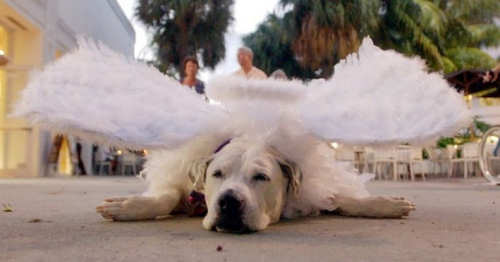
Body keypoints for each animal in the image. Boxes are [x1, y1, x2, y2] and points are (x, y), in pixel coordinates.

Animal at [13, 37, 470, 233]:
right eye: (216, 175)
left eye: (261, 178)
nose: (229, 202)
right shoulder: (183, 181)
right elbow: (163, 195)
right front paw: (129, 207)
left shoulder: (308, 189)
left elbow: (341, 198)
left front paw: (382, 204)